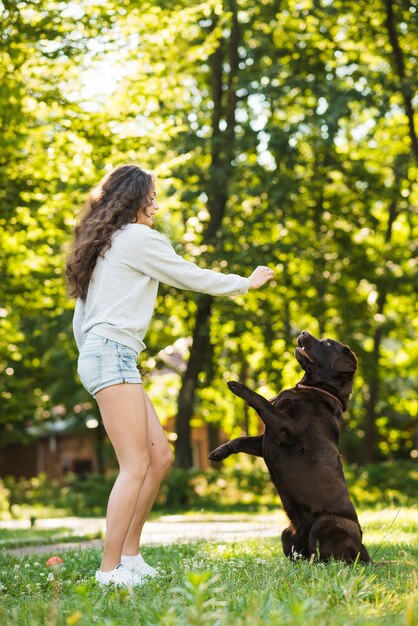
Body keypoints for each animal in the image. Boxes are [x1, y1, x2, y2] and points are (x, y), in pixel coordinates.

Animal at [209, 330, 370, 564]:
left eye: (327, 343)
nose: (303, 332)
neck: (316, 389)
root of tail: (364, 551)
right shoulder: (266, 440)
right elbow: (241, 439)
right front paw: (220, 452)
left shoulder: (285, 428)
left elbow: (260, 400)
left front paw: (238, 386)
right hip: (287, 532)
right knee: (302, 552)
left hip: (327, 523)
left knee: (331, 558)